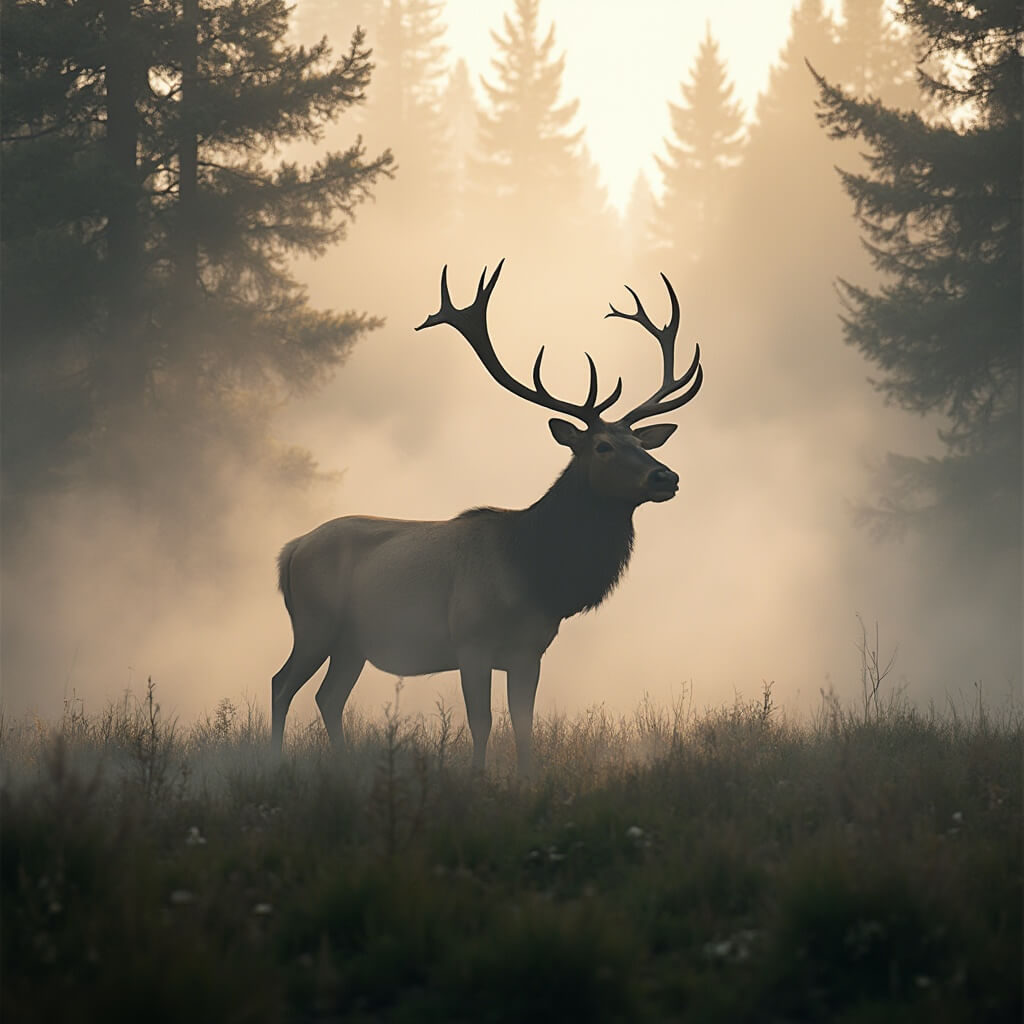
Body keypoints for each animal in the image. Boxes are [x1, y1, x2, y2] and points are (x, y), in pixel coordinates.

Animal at [271, 261, 703, 774]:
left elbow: (523, 724)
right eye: (603, 446)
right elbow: (482, 722)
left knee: (328, 697)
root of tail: (291, 550)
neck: (538, 575)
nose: (666, 476)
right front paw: (477, 778)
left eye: (640, 441)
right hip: (315, 622)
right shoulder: (470, 641)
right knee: (282, 684)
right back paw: (269, 761)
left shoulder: (530, 650)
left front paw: (527, 777)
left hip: (352, 641)